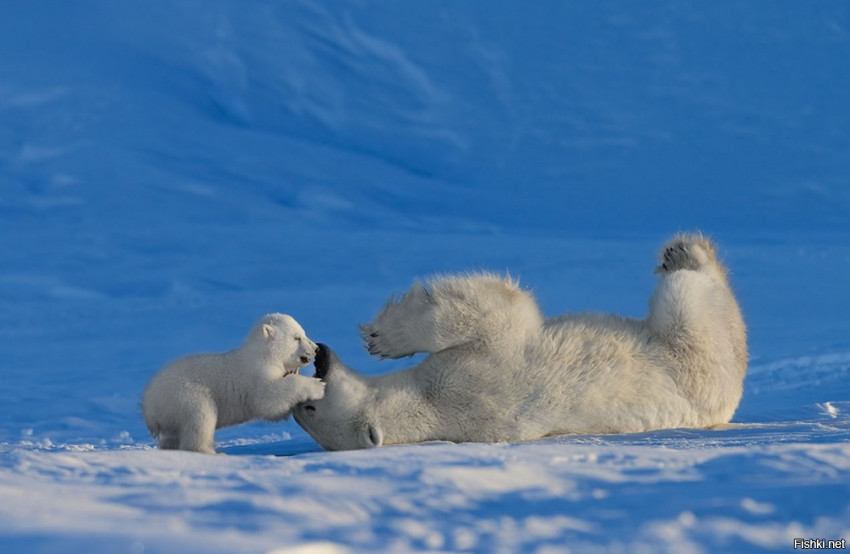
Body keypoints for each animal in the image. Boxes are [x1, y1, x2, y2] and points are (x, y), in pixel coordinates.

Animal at [141, 312, 322, 450]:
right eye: (297, 337)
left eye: (303, 332)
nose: (316, 348)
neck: (263, 354)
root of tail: (149, 407)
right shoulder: (257, 374)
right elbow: (268, 401)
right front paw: (317, 385)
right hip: (183, 395)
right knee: (200, 416)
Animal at [294, 233, 744, 448]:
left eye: (308, 407)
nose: (320, 355)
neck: (431, 407)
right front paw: (381, 337)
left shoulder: (473, 376)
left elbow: (490, 316)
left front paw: (381, 337)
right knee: (689, 301)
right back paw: (687, 254)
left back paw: (684, 253)